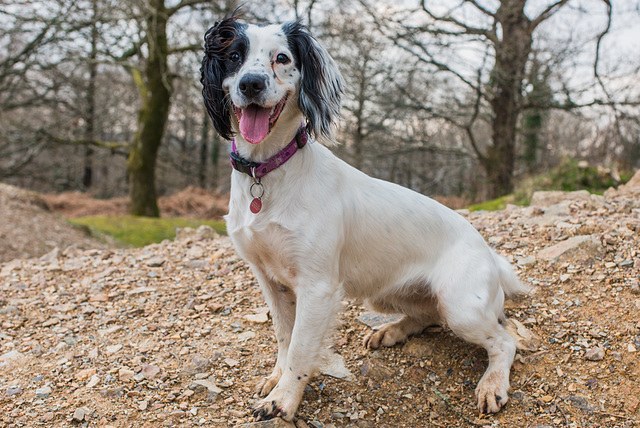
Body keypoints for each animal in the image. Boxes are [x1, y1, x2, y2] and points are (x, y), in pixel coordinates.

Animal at [201, 12, 528, 422]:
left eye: (281, 58)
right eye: (234, 57)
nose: (251, 84)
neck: (268, 171)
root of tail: (489, 255)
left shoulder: (318, 286)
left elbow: (300, 349)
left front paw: (283, 399)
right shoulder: (268, 279)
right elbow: (283, 336)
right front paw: (276, 378)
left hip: (462, 306)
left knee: (504, 340)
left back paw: (492, 384)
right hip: (384, 296)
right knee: (428, 317)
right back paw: (391, 331)